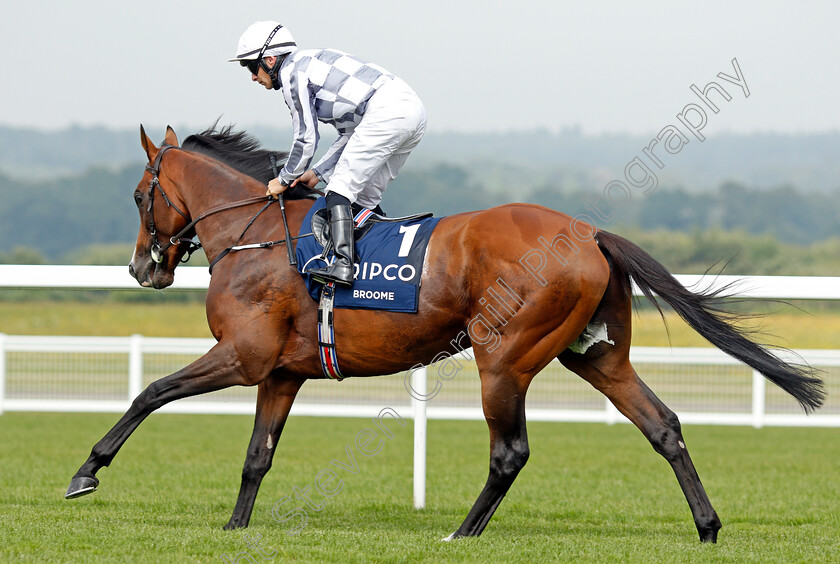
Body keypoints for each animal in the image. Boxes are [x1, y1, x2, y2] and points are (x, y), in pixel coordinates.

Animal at [64, 124, 820, 540]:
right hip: (597, 355)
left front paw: (86, 472)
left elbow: (151, 392)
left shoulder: (243, 355)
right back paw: (707, 526)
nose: (142, 267)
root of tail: (588, 233)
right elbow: (257, 454)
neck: (255, 235)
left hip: (504, 355)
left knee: (510, 451)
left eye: (140, 194)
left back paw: (461, 532)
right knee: (663, 425)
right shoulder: (280, 371)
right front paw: (233, 526)